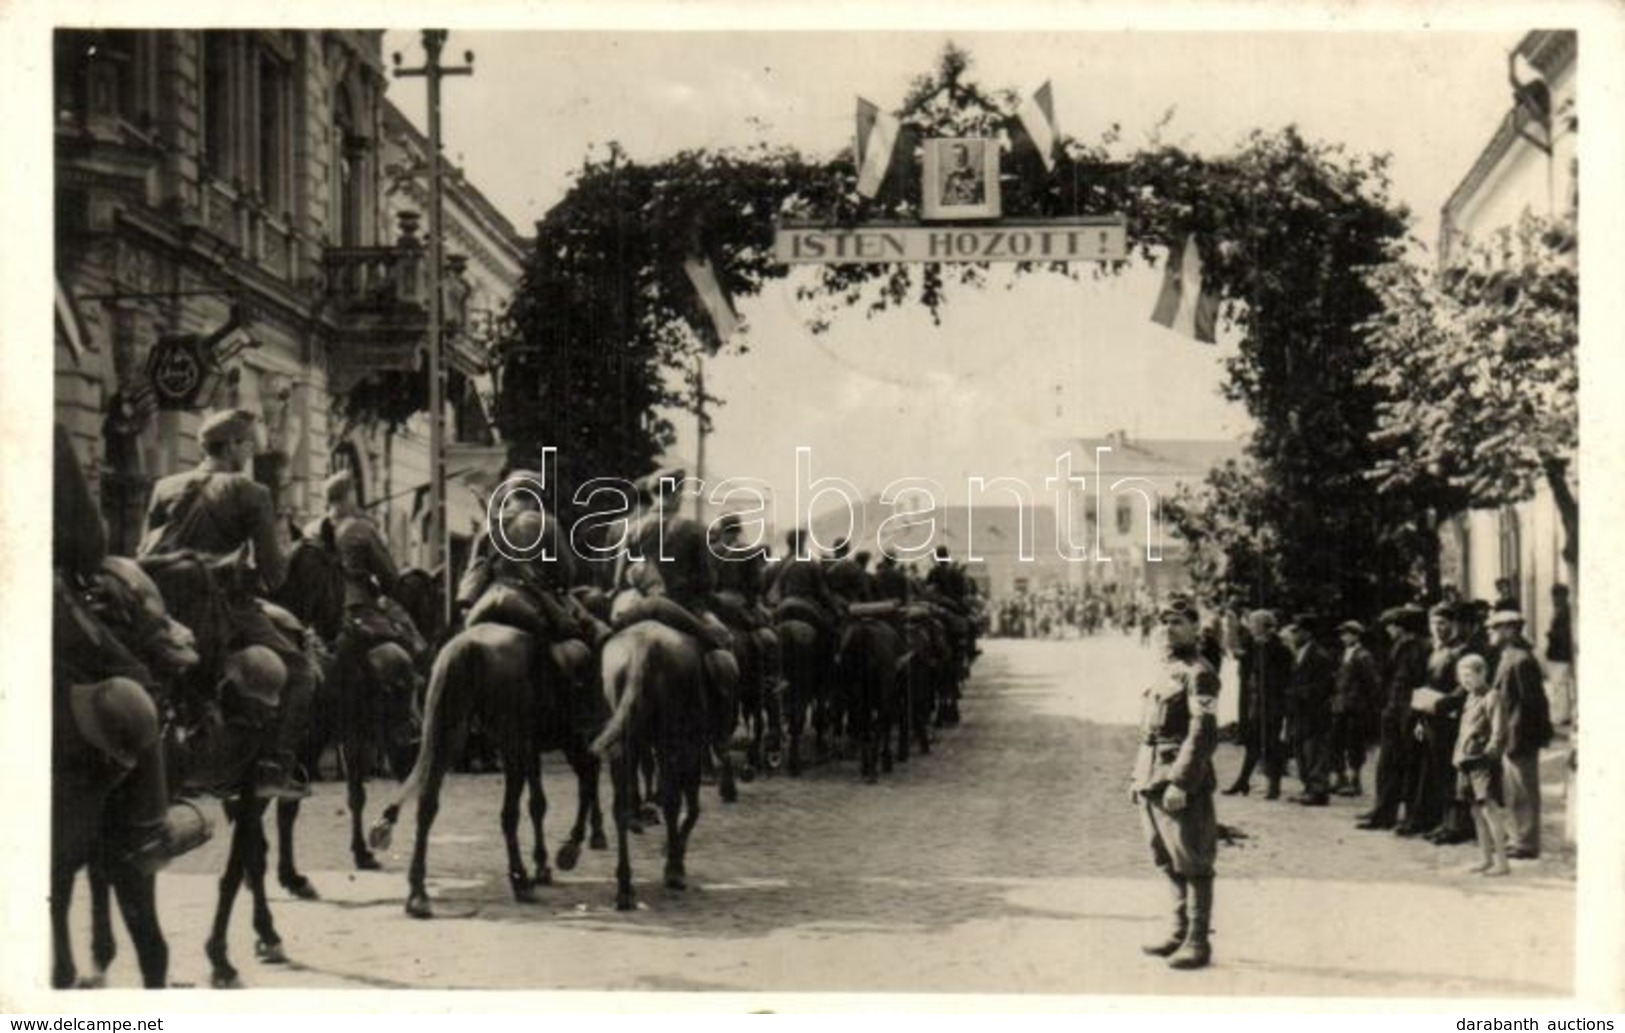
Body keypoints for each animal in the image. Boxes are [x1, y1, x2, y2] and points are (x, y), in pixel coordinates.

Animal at [588, 617, 708, 909]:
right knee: (673, 801)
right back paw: (672, 871)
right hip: (670, 737)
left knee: (620, 807)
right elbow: (689, 807)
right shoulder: (691, 745)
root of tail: (643, 647)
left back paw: (625, 887)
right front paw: (674, 859)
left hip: (621, 740)